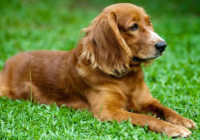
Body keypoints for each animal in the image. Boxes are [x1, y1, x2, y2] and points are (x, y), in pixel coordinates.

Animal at [0, 3, 195, 138]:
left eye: (149, 23)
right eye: (133, 27)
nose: (163, 45)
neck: (126, 78)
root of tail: (9, 61)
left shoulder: (147, 100)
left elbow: (165, 109)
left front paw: (183, 120)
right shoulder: (108, 112)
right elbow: (146, 118)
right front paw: (173, 129)